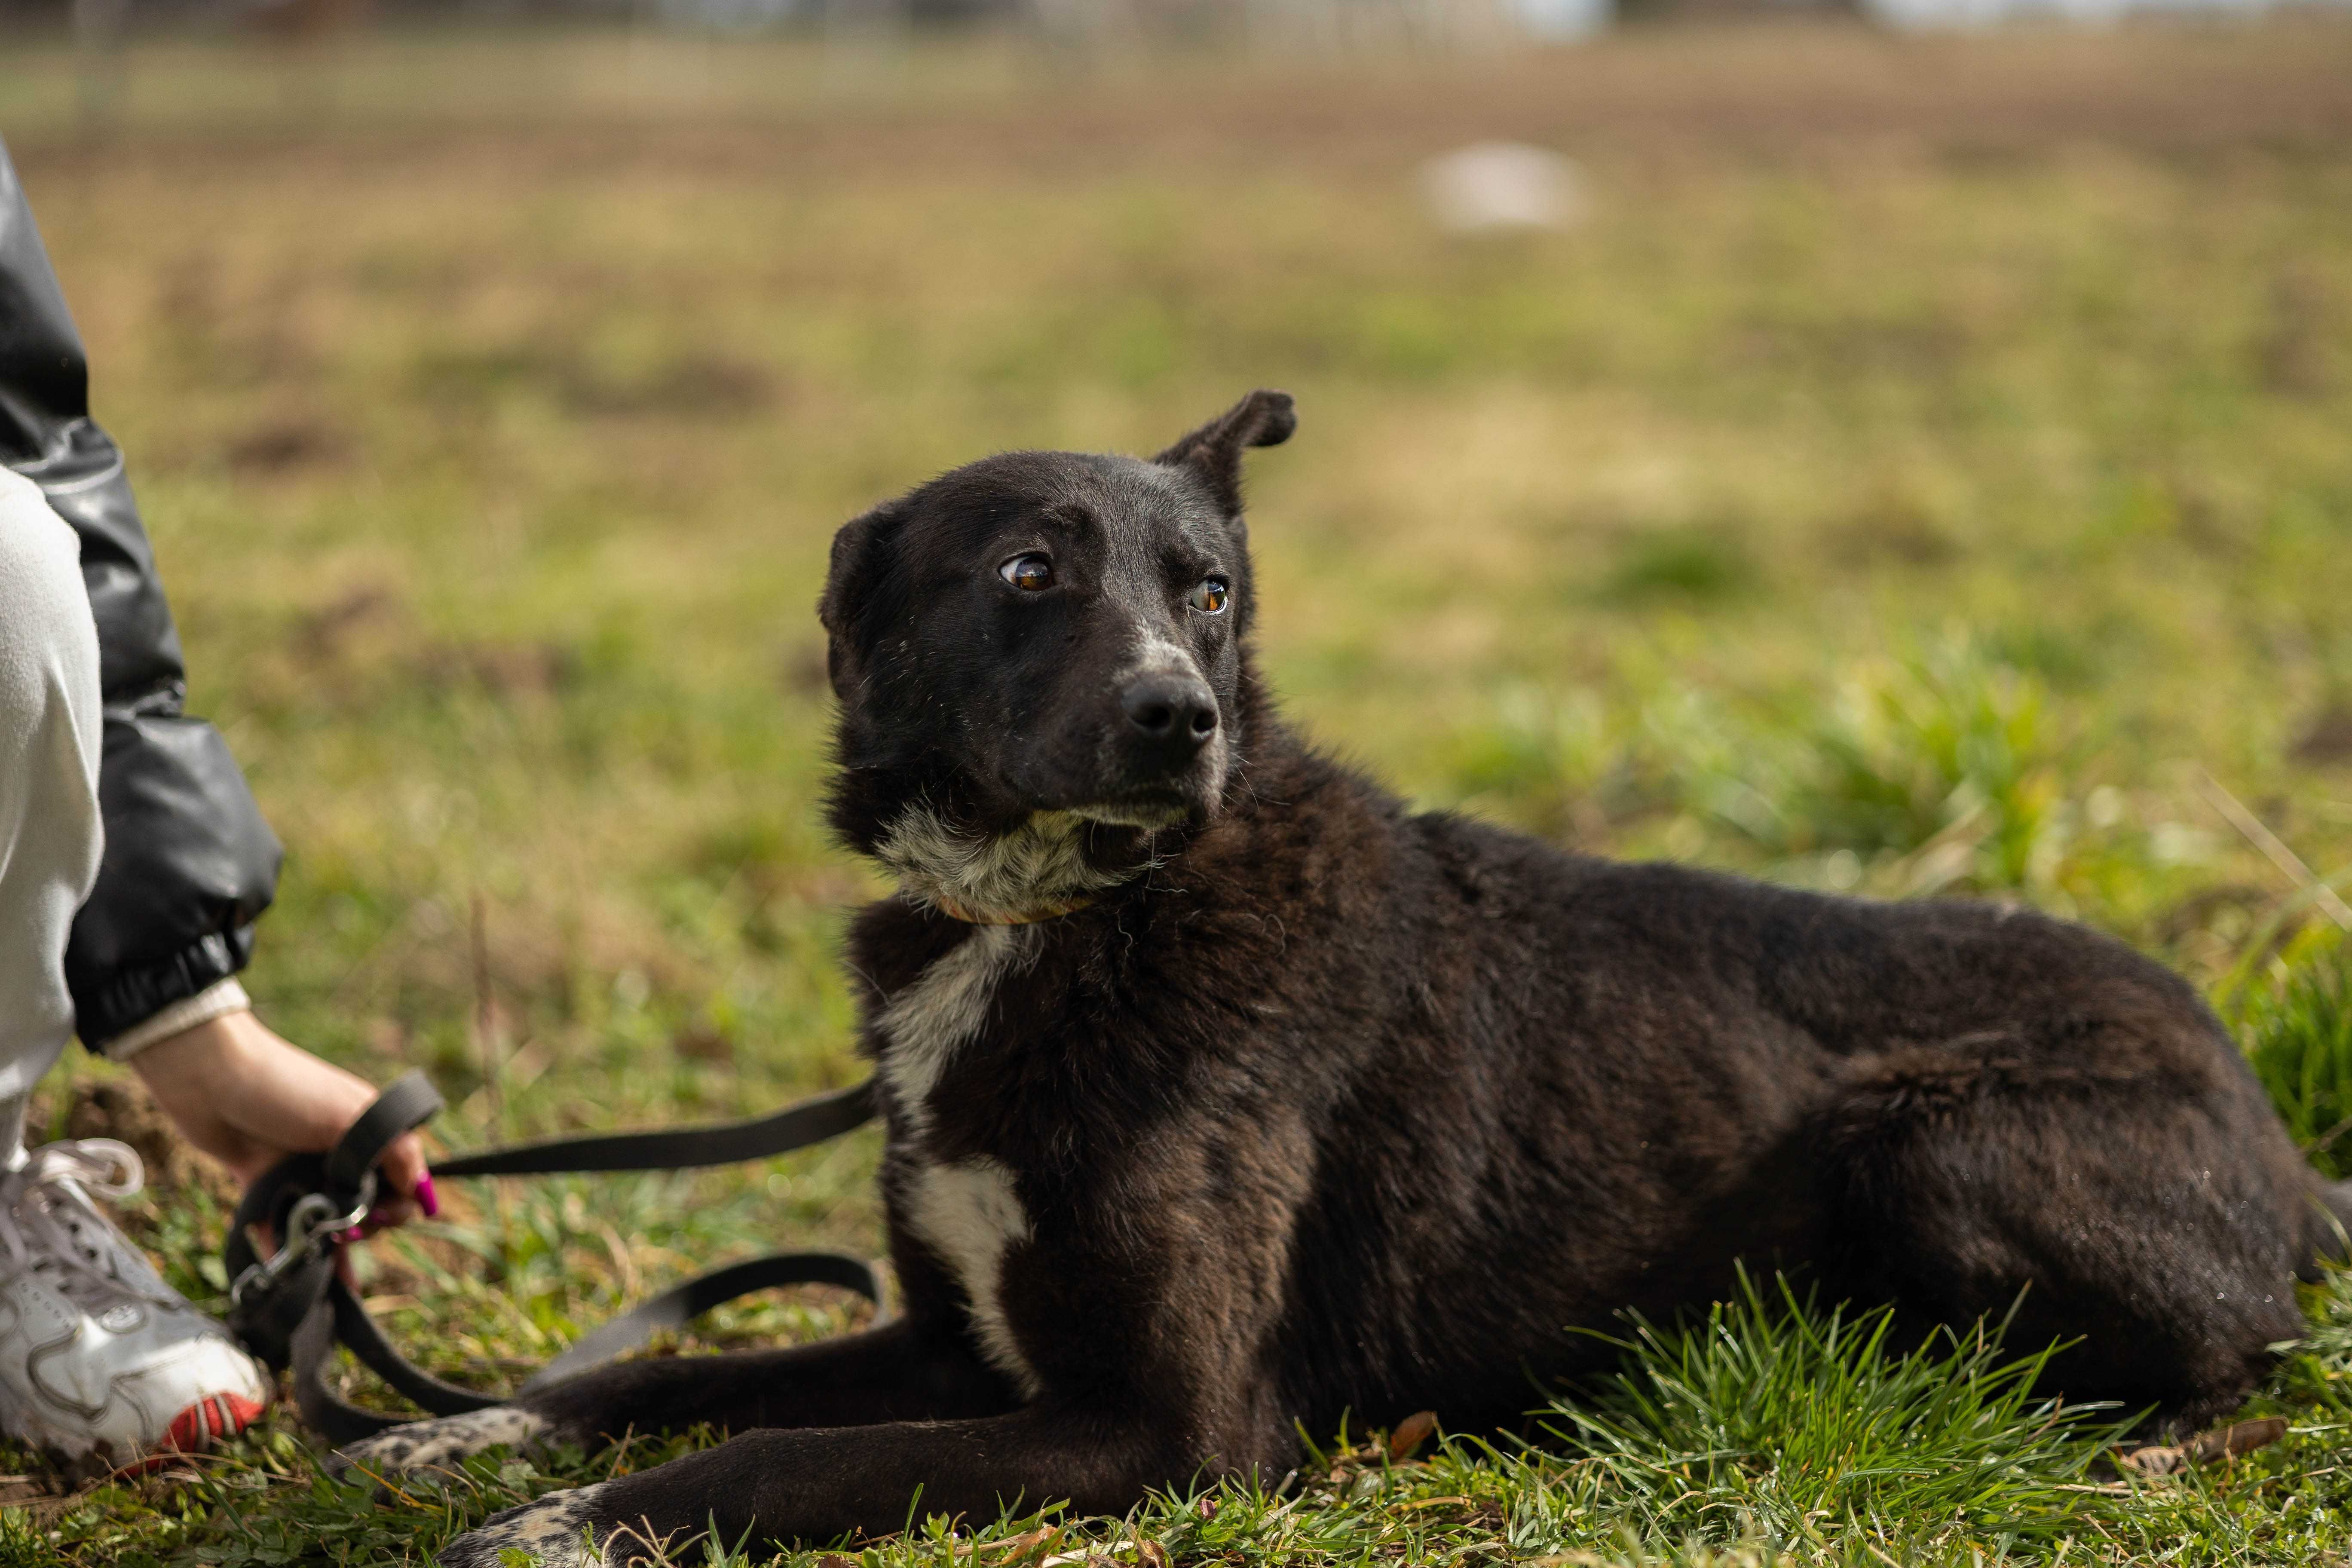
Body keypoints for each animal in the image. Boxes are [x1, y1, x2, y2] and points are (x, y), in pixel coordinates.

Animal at [341, 392, 2343, 1568]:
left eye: (1209, 589)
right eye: (1027, 571)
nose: (1181, 720)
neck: (1064, 919)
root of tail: (2264, 1111)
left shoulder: (1173, 1428)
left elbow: (761, 1459)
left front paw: (571, 1528)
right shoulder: (953, 1337)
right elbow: (683, 1379)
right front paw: (478, 1433)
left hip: (1935, 1138)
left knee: (2241, 1351)